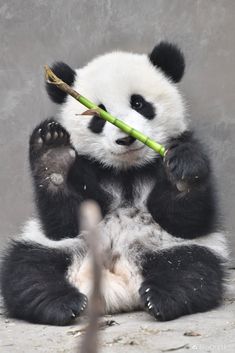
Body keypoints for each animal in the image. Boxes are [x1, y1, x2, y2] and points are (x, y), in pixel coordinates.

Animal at [0, 41, 228, 324]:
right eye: (98, 115)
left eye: (139, 102)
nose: (125, 139)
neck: (125, 171)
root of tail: (116, 284)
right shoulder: (86, 167)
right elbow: (62, 222)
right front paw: (53, 156)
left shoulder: (179, 150)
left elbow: (187, 219)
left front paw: (182, 173)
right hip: (52, 246)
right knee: (27, 270)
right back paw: (61, 303)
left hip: (173, 248)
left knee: (193, 269)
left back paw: (161, 297)